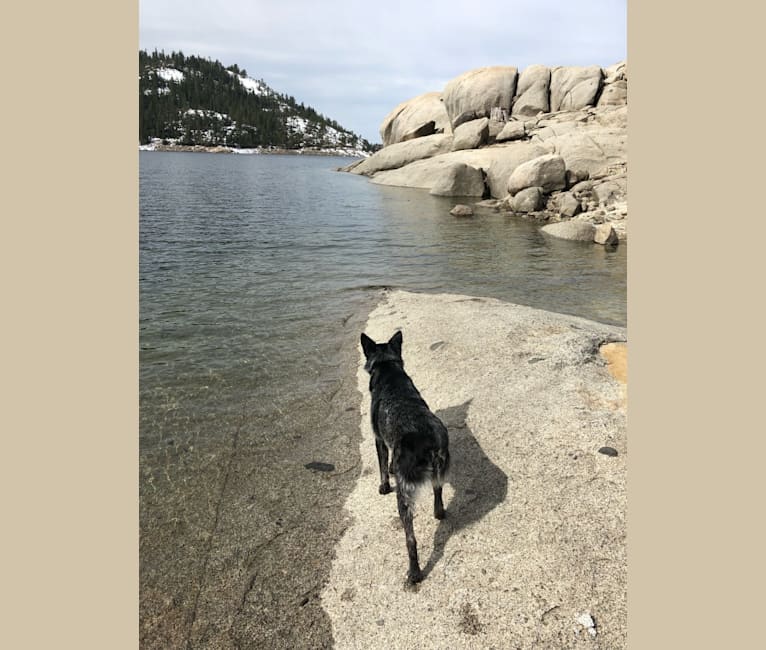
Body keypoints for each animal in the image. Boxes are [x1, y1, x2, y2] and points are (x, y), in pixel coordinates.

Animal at [360, 330, 450, 584]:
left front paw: (383, 486)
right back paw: (439, 513)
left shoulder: (379, 439)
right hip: (437, 474)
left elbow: (382, 465)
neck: (388, 369)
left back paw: (414, 573)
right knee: (438, 495)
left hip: (404, 498)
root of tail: (426, 439)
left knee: (411, 539)